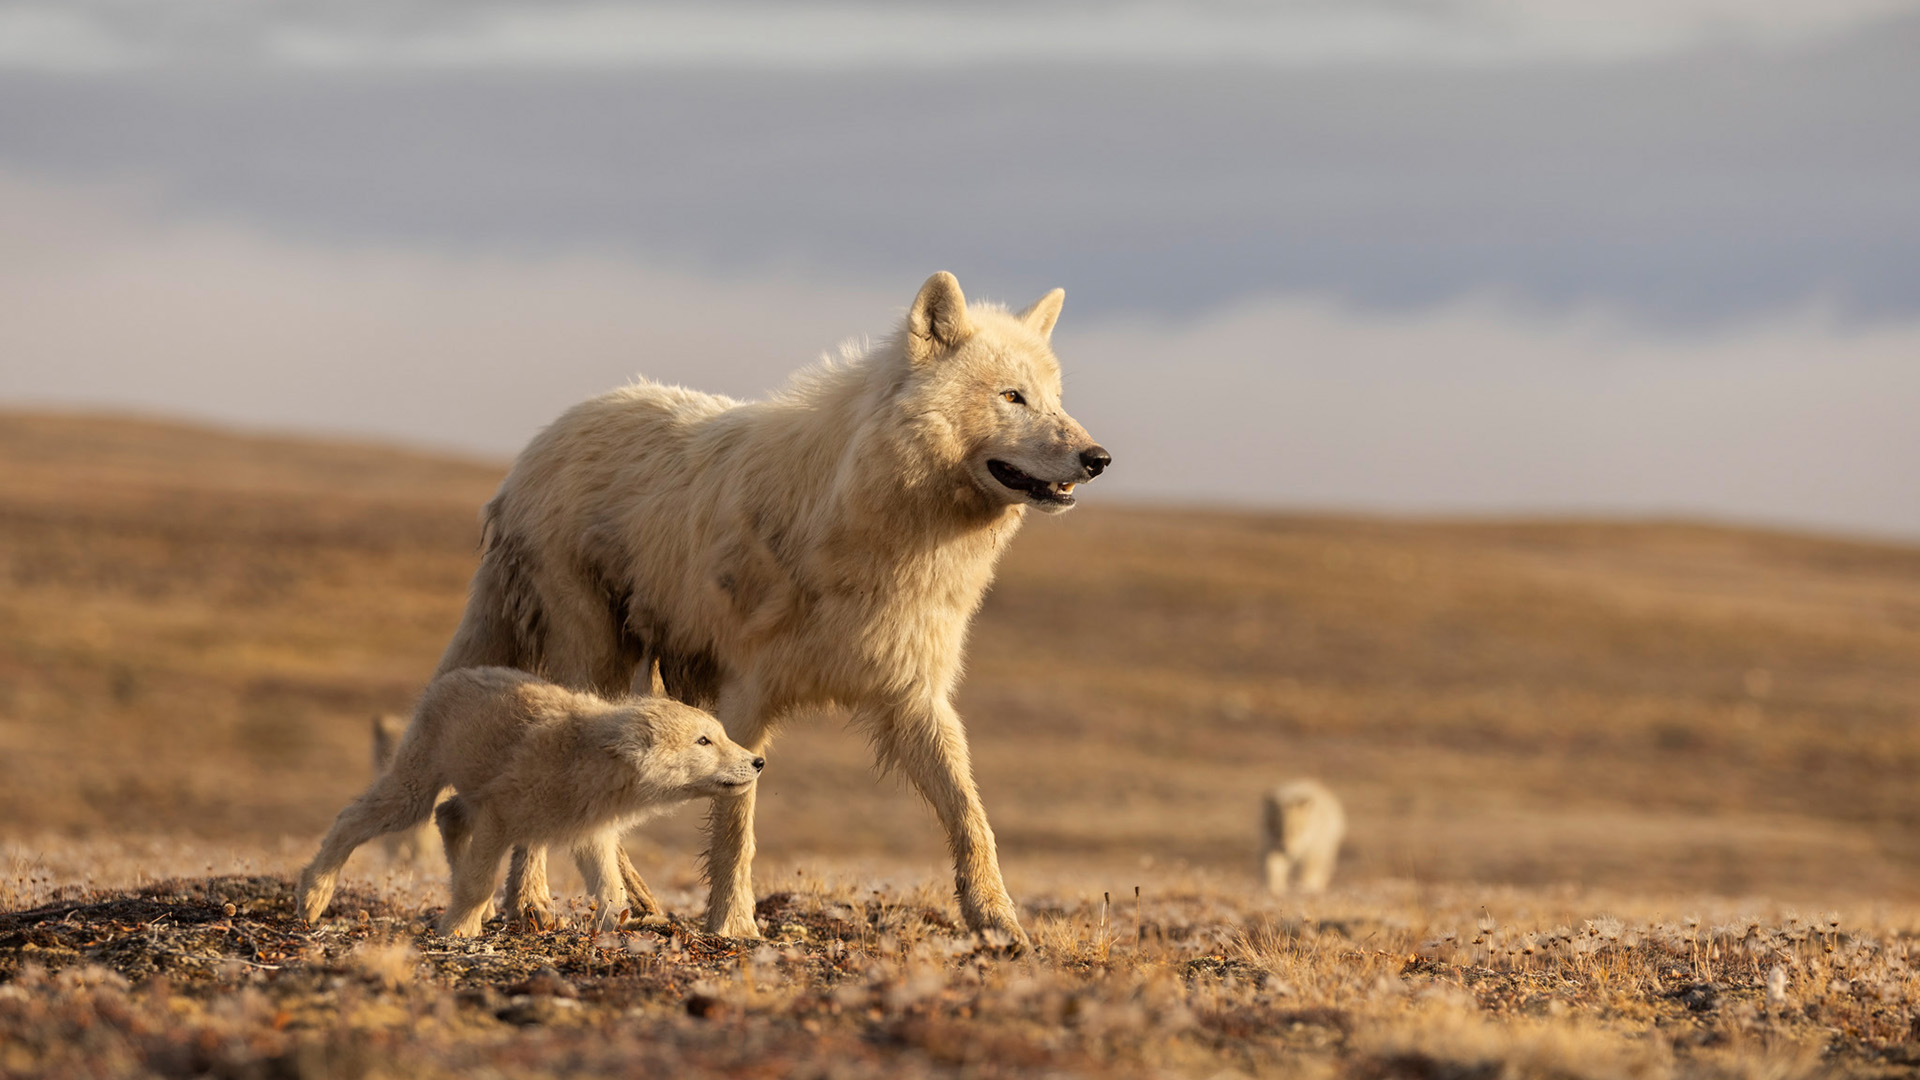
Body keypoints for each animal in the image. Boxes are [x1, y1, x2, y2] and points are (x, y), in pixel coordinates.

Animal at [297, 667, 764, 936]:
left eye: (721, 733)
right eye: (703, 740)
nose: (758, 761)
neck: (582, 761)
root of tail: (453, 674)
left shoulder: (590, 836)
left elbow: (612, 894)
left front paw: (613, 933)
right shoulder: (501, 816)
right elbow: (479, 881)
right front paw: (457, 931)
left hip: (463, 796)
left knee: (448, 816)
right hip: (414, 790)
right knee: (353, 816)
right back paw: (312, 896)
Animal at [432, 272, 1108, 945]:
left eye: (1055, 397)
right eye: (1012, 396)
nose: (1098, 459)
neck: (871, 531)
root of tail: (531, 453)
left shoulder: (915, 697)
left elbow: (970, 815)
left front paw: (999, 923)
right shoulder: (746, 695)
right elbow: (737, 824)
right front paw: (733, 926)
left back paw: (637, 903)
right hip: (593, 656)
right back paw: (532, 904)